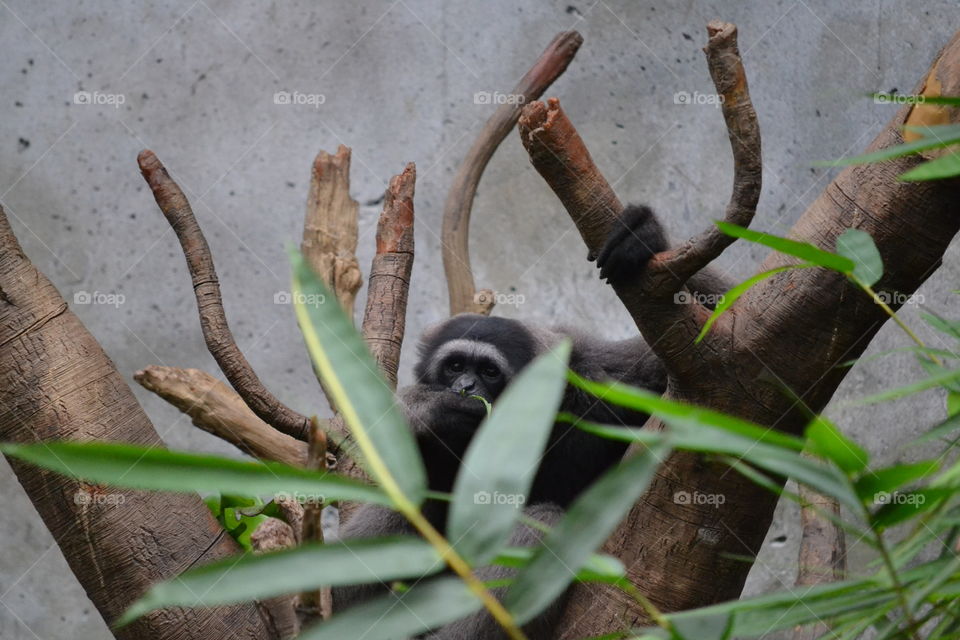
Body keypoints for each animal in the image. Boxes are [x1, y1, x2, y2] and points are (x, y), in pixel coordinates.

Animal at [332, 204, 730, 639]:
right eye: (455, 366)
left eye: (489, 372)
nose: (466, 386)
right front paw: (428, 409)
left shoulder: (598, 376)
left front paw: (646, 238)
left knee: (542, 520)